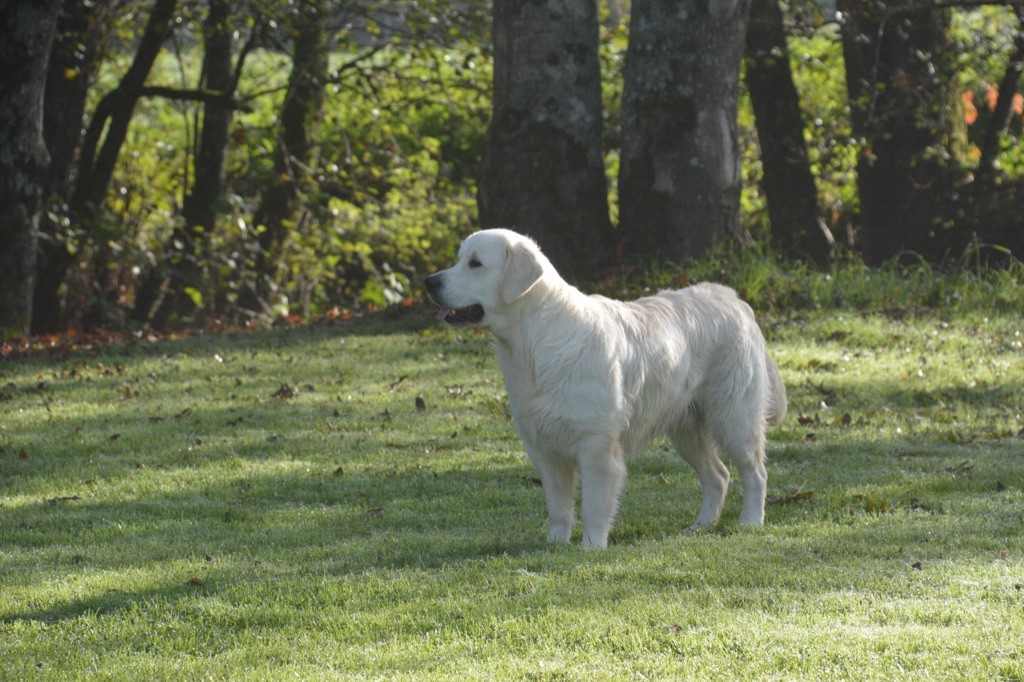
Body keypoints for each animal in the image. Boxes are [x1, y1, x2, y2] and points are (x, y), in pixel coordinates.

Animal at [423, 228, 782, 548]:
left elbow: (594, 505)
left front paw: (592, 546)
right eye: (459, 259)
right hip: (686, 428)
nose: (429, 282)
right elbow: (559, 507)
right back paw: (700, 527)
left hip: (734, 417)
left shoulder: (596, 445)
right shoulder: (543, 447)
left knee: (755, 472)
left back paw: (750, 522)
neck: (532, 343)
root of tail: (733, 298)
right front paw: (555, 544)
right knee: (718, 476)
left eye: (475, 263)